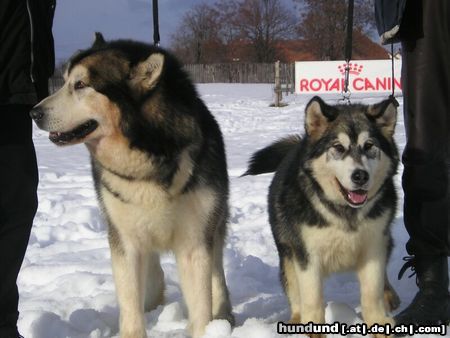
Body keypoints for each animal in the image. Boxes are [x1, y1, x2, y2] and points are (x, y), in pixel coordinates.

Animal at [30, 34, 234, 338]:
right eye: (65, 81)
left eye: (81, 85)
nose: (34, 112)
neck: (147, 155)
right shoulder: (124, 240)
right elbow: (130, 302)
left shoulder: (195, 240)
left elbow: (201, 302)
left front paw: (206, 328)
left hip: (215, 223)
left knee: (217, 271)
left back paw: (223, 315)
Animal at [246, 96, 400, 334]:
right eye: (338, 147)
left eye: (369, 146)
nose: (360, 176)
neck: (344, 212)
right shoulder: (308, 258)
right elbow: (312, 301)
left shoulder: (374, 247)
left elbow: (372, 292)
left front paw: (379, 322)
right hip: (288, 255)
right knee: (295, 294)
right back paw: (295, 320)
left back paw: (390, 295)